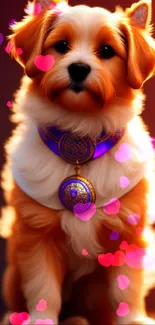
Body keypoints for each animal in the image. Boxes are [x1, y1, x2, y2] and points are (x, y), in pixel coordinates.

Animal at [0, 0, 155, 322]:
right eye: (61, 46)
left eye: (107, 51)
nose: (79, 68)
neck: (80, 129)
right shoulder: (36, 235)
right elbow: (43, 287)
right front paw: (41, 320)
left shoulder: (128, 232)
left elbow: (126, 290)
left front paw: (132, 318)